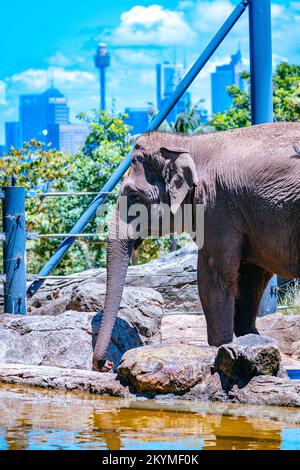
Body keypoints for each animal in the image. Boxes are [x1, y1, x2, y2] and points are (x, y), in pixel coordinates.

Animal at [92, 121, 298, 370]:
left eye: (134, 196)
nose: (106, 364)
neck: (188, 143)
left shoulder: (216, 205)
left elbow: (214, 275)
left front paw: (223, 352)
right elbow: (252, 277)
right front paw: (251, 343)